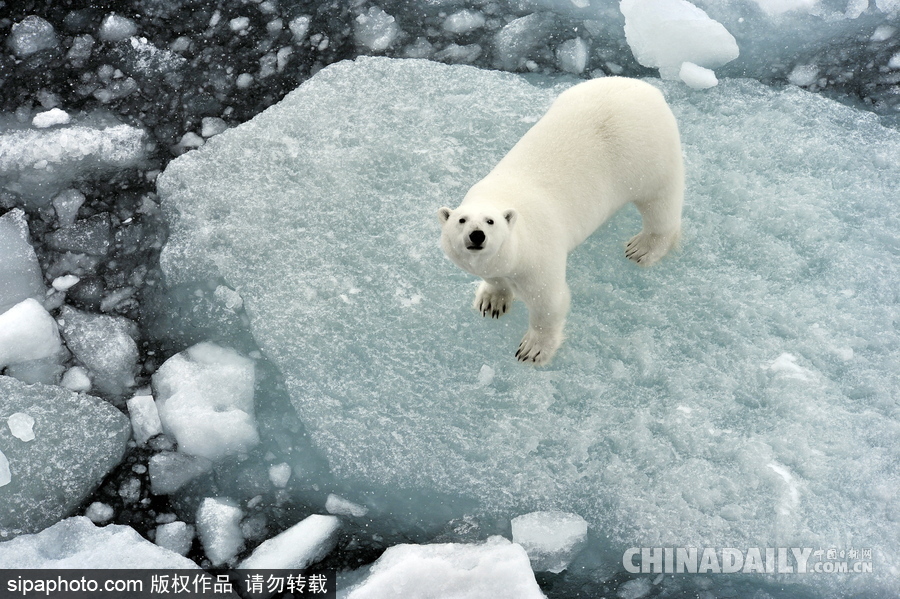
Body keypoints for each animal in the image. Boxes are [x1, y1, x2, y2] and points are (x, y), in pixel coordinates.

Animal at [440, 76, 684, 366]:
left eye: (490, 222)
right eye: (461, 220)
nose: (476, 236)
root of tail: (647, 89)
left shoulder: (538, 256)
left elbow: (548, 302)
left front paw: (532, 350)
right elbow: (495, 277)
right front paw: (491, 301)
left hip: (647, 156)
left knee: (660, 202)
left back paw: (644, 247)